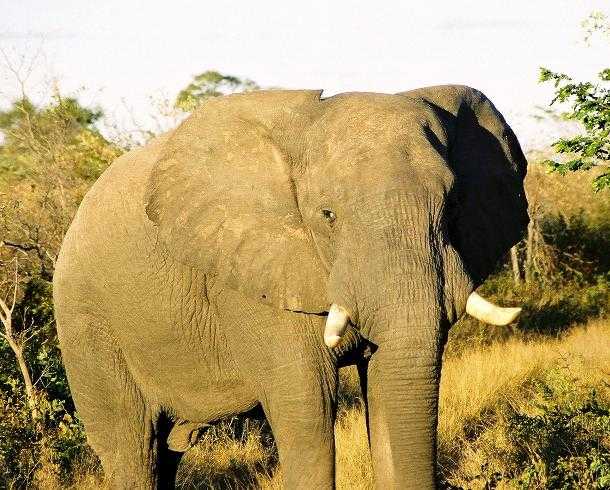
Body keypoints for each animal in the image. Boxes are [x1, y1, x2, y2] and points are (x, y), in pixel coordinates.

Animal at [53, 85, 528, 489]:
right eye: (327, 215)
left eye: (453, 207)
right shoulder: (247, 276)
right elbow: (307, 407)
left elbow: (385, 390)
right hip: (87, 326)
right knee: (133, 449)